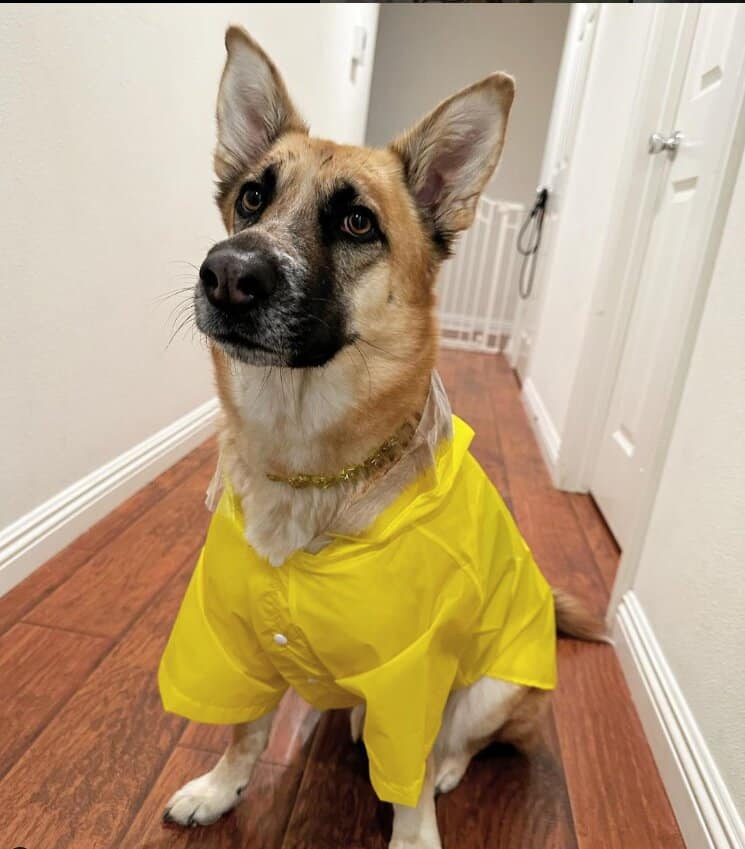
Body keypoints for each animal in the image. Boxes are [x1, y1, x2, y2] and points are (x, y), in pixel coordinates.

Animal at [158, 26, 604, 848]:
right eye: (252, 197)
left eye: (357, 222)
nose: (227, 275)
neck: (308, 468)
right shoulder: (236, 639)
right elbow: (245, 727)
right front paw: (220, 788)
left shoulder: (413, 676)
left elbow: (411, 777)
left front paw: (415, 832)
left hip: (494, 688)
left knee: (462, 745)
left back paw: (451, 766)